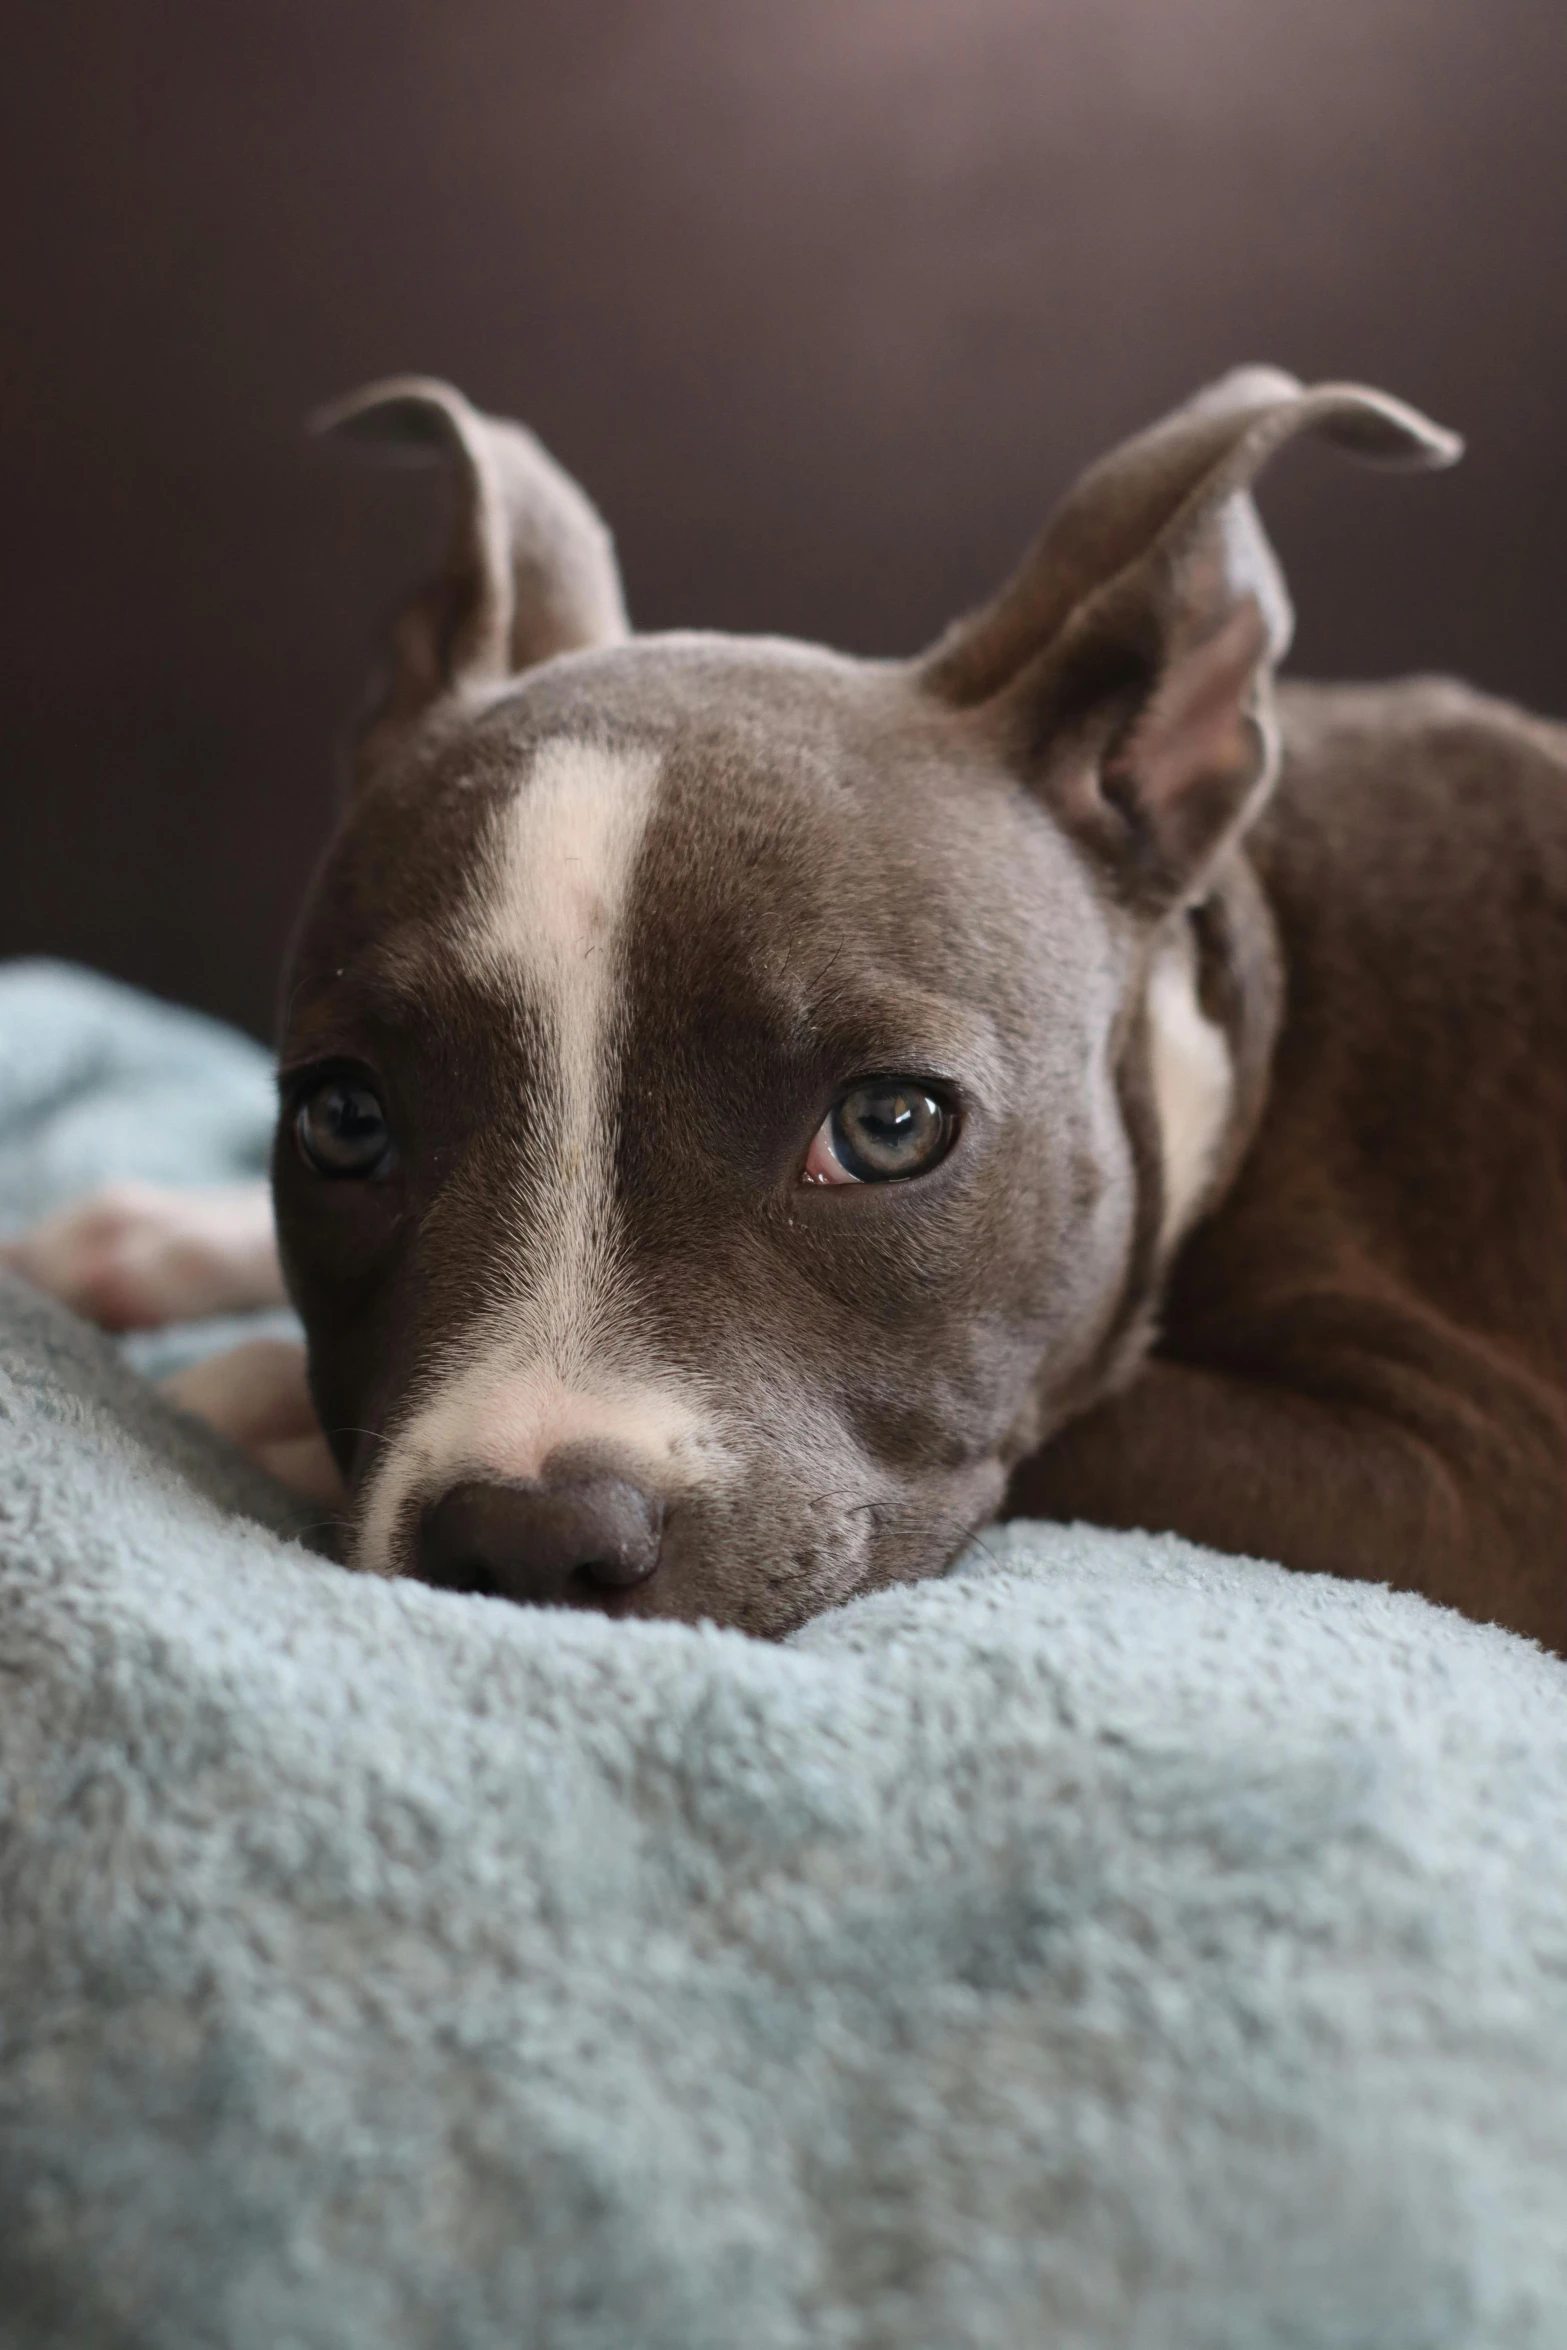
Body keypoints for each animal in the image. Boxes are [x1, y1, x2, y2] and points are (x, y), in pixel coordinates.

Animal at [12, 371, 1567, 1654]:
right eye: (343, 1119)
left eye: (888, 1127)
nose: (529, 1541)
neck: (1235, 1033)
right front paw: (142, 1243)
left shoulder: (1476, 1487)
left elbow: (1092, 1420)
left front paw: (250, 1390)